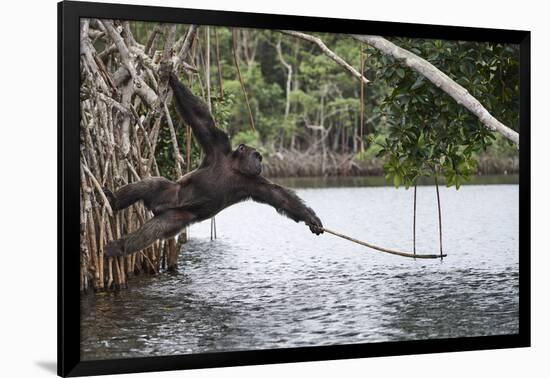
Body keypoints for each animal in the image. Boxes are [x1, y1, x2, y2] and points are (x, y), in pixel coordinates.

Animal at [104, 73, 324, 256]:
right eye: (257, 155)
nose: (259, 162)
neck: (234, 167)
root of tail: (157, 207)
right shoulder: (218, 141)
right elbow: (200, 118)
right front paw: (173, 78)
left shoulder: (255, 182)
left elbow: (280, 197)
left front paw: (311, 219)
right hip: (168, 193)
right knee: (151, 185)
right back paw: (114, 205)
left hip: (176, 217)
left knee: (155, 229)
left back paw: (120, 245)